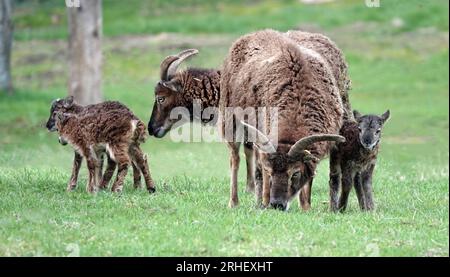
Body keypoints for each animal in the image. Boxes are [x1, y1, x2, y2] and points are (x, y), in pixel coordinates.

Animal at [219, 29, 352, 209]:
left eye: (295, 173)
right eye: (271, 172)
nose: (277, 205)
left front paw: (306, 207)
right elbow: (260, 171)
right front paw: (264, 203)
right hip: (230, 120)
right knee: (235, 159)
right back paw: (235, 202)